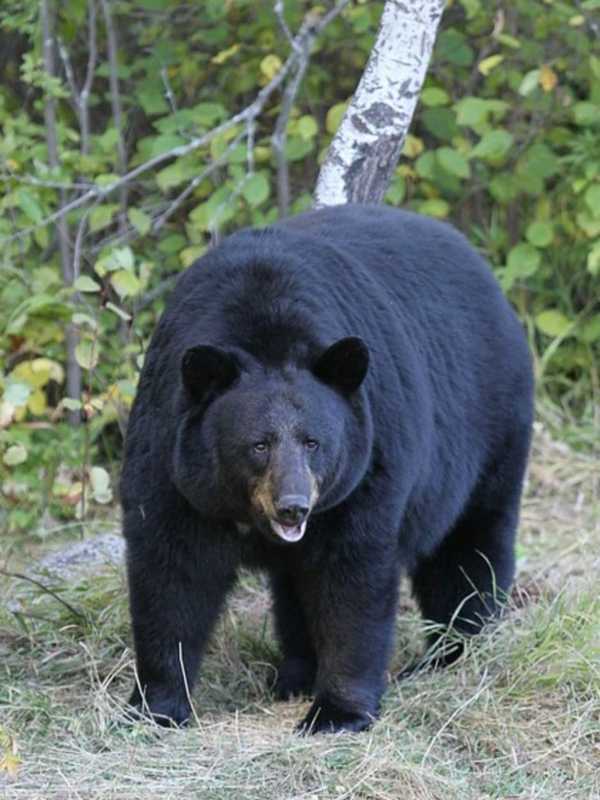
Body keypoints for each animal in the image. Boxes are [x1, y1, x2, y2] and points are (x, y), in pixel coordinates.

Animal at [119, 205, 532, 732]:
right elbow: (172, 573)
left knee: (467, 548)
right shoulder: (171, 459)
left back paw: (455, 651)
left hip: (488, 430)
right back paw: (295, 675)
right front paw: (157, 706)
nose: (293, 507)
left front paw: (336, 712)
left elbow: (351, 577)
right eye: (258, 445)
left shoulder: (366, 466)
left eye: (314, 442)